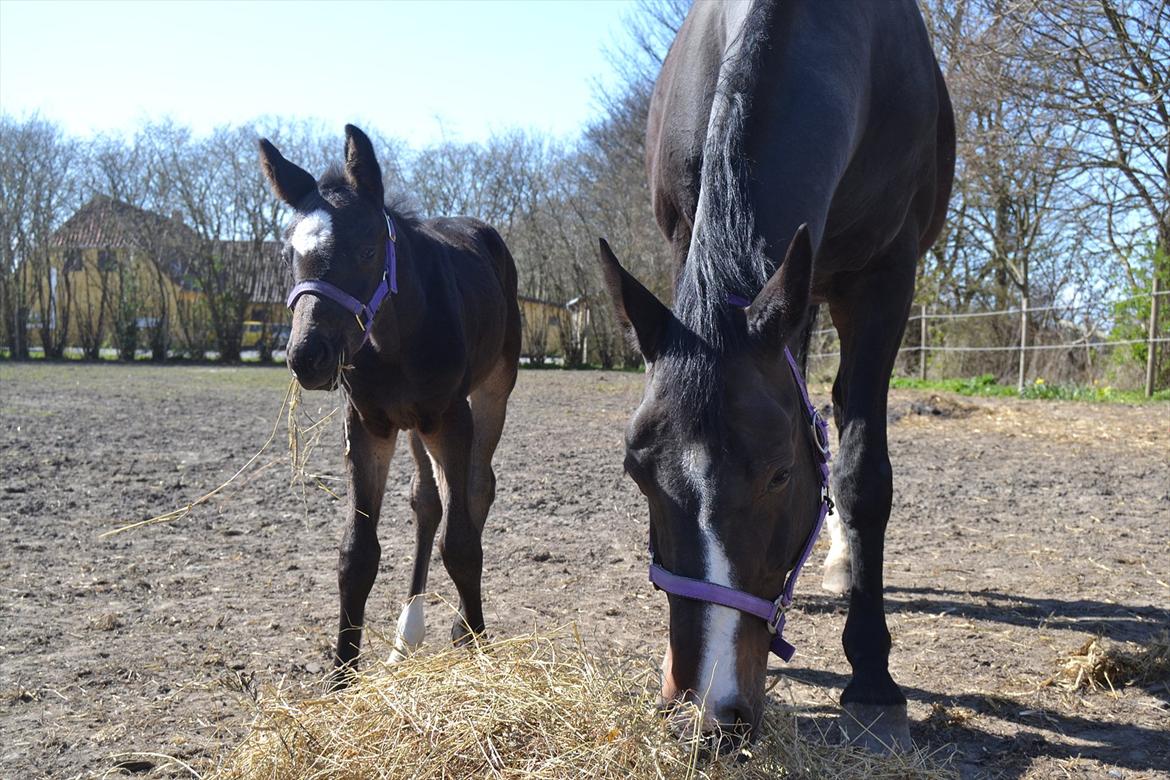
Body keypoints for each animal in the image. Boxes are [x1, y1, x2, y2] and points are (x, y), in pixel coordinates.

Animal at [263, 123, 524, 682]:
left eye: (366, 250)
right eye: (289, 254)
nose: (307, 356)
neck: (396, 337)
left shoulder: (451, 418)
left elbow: (461, 543)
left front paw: (476, 640)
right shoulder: (368, 426)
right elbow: (357, 552)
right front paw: (342, 673)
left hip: (492, 388)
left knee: (477, 486)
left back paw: (458, 626)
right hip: (412, 425)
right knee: (426, 500)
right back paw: (408, 634)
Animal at [599, 1, 954, 748]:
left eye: (779, 476)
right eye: (637, 473)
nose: (707, 711)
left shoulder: (887, 276)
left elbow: (860, 474)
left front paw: (872, 679)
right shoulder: (686, 243)